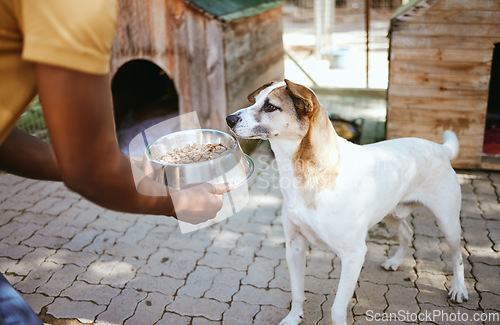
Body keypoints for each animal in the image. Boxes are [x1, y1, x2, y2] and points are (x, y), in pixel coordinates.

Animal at [227, 79, 468, 324]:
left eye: (270, 107)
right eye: (256, 101)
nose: (229, 118)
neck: (310, 174)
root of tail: (438, 147)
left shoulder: (354, 256)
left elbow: (336, 309)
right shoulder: (294, 246)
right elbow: (297, 292)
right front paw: (294, 317)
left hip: (447, 222)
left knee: (457, 255)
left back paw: (459, 288)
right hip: (391, 213)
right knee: (407, 233)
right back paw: (395, 261)